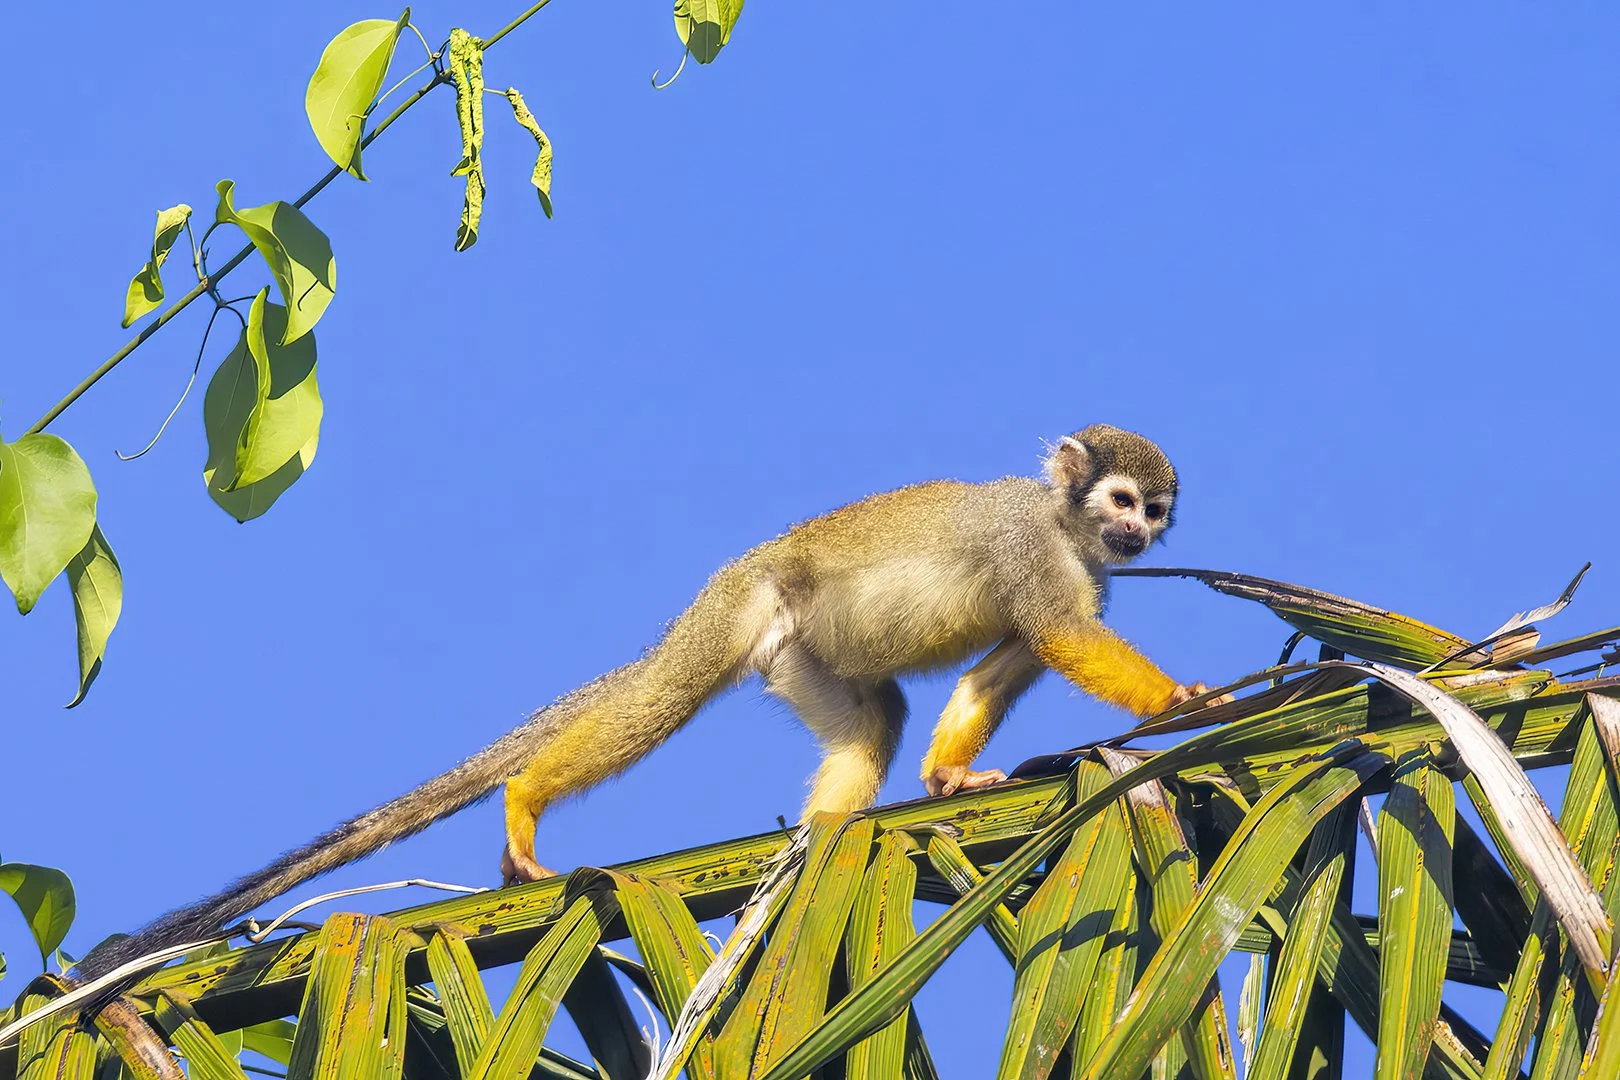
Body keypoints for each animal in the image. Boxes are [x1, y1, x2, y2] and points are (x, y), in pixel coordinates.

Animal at [80, 424, 1215, 978]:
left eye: (1153, 512)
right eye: (1121, 501)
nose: (1138, 532)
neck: (1067, 528)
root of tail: (728, 581)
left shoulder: (1083, 571)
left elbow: (1018, 655)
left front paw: (950, 776)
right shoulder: (1034, 549)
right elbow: (1058, 634)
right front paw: (1186, 698)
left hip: (796, 653)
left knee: (872, 717)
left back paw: (816, 848)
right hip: (738, 614)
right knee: (660, 699)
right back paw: (526, 803)